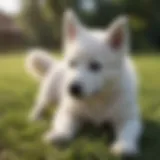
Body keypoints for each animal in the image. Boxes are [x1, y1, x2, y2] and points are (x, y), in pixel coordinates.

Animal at [26, 10, 142, 156]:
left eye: (95, 66)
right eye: (72, 63)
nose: (72, 89)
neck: (97, 99)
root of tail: (56, 63)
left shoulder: (128, 118)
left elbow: (128, 132)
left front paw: (125, 145)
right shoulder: (68, 112)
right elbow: (64, 125)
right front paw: (59, 134)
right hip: (48, 95)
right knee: (40, 104)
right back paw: (34, 117)